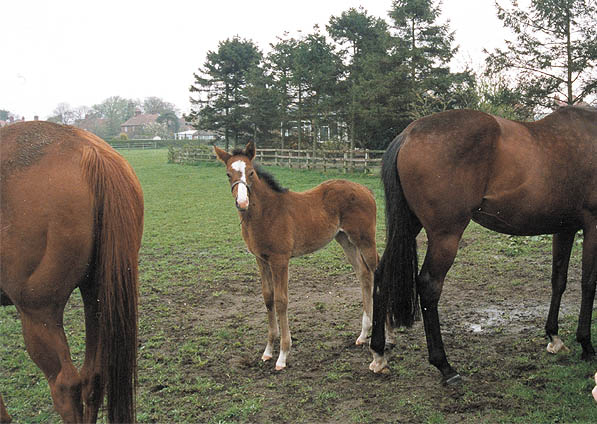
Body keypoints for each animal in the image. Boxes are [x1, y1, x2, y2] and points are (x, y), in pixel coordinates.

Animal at [217, 142, 380, 372]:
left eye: (251, 172)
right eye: (228, 174)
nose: (242, 202)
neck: (266, 213)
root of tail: (366, 190)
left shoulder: (280, 260)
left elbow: (281, 301)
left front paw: (283, 355)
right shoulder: (261, 259)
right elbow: (268, 298)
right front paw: (268, 351)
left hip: (365, 239)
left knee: (376, 272)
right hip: (345, 240)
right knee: (364, 275)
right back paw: (363, 334)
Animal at [370, 106, 596, 384]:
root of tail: (409, 134)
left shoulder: (565, 229)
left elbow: (559, 280)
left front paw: (554, 337)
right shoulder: (593, 225)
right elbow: (588, 284)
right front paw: (586, 345)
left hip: (410, 224)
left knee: (381, 275)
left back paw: (379, 353)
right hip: (445, 235)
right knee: (429, 286)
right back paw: (445, 366)